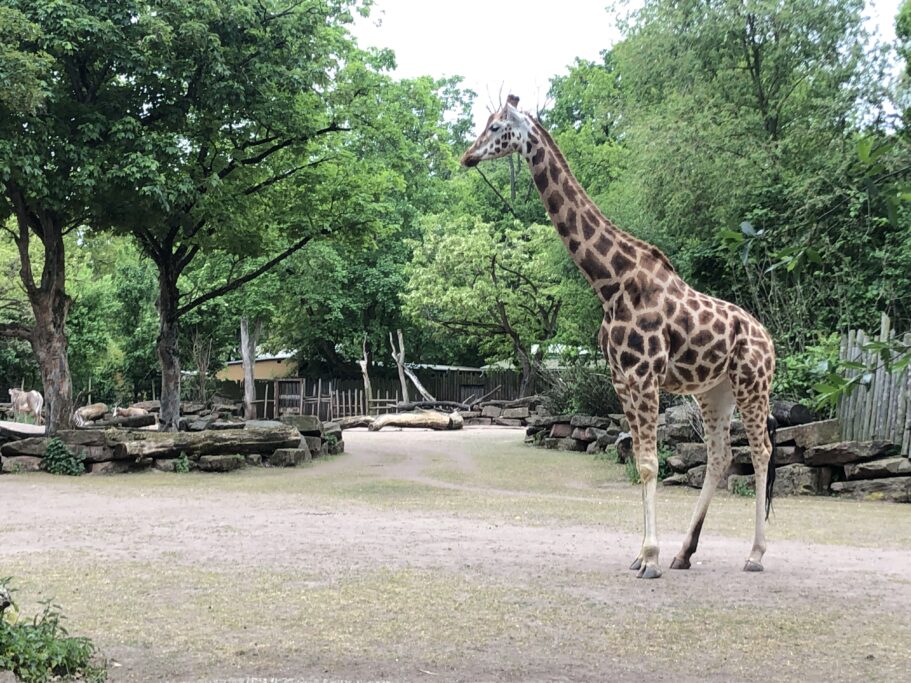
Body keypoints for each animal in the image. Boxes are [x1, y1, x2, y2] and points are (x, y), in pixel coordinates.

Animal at [461, 96, 776, 578]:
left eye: (496, 127)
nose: (468, 156)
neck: (610, 283)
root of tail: (770, 340)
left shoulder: (645, 376)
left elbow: (647, 464)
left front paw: (649, 558)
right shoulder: (623, 380)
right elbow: (642, 461)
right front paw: (647, 555)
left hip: (752, 382)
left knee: (761, 451)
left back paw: (755, 555)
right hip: (714, 389)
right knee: (720, 455)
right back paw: (686, 552)